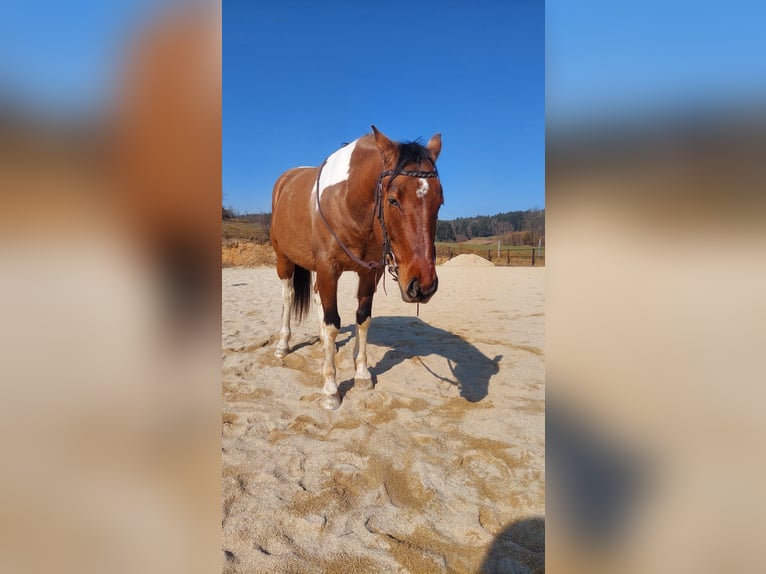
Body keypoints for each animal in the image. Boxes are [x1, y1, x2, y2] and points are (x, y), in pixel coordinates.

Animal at [270, 125, 443, 409]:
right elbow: (332, 323)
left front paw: (362, 374)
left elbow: (362, 318)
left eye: (439, 202)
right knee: (288, 296)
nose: (423, 285)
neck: (347, 203)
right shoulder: (329, 269)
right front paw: (331, 389)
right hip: (283, 258)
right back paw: (283, 345)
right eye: (393, 200)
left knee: (316, 297)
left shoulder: (369, 272)